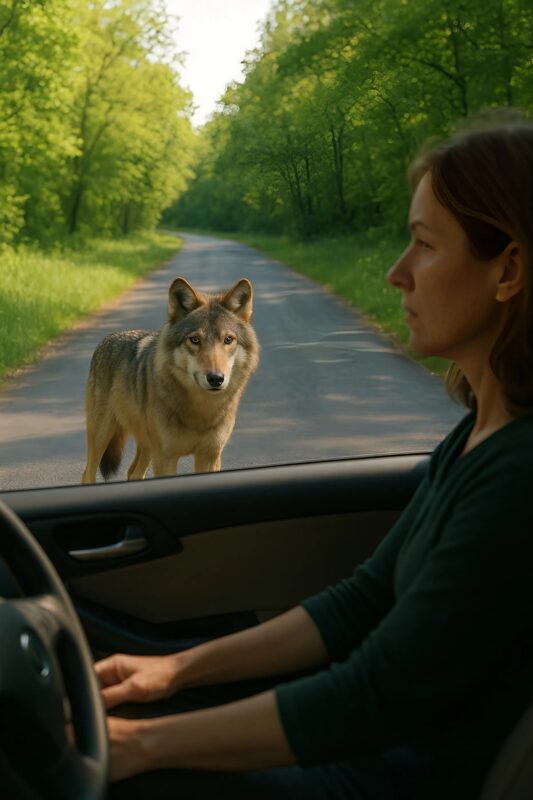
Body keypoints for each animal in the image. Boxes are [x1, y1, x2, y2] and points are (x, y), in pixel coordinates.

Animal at [81, 277, 259, 482]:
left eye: (228, 339)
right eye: (195, 340)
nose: (216, 378)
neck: (201, 412)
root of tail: (106, 339)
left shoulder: (210, 456)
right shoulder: (166, 458)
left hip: (146, 447)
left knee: (133, 472)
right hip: (103, 437)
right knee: (87, 473)